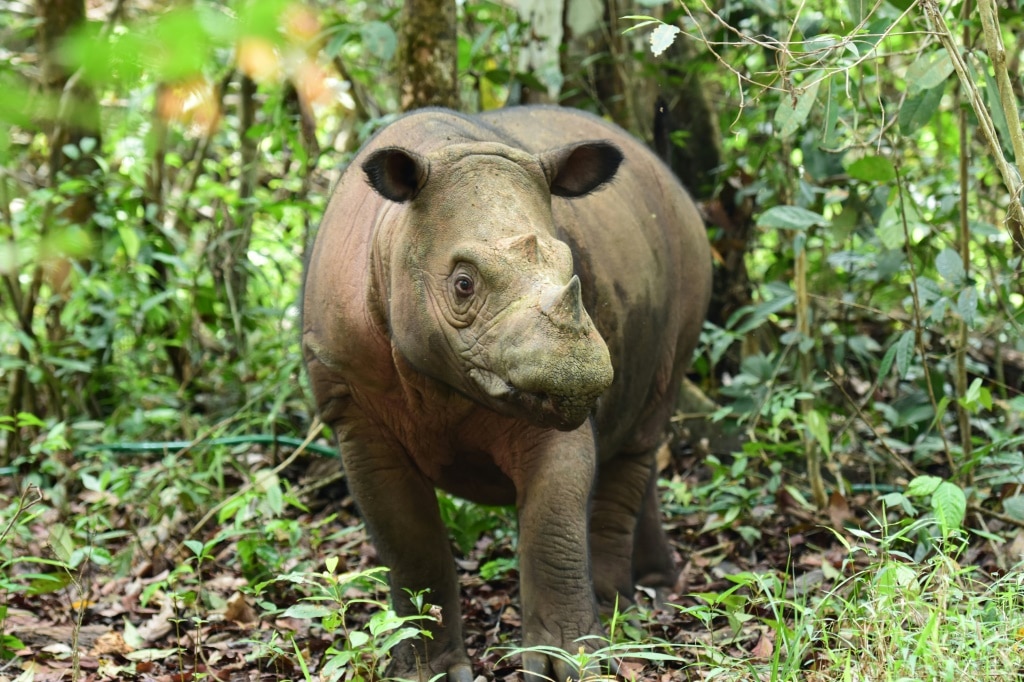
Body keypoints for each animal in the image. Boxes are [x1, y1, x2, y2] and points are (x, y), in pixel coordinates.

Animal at [299, 103, 708, 675]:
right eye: (463, 284)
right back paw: (647, 589)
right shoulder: (352, 405)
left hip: (691, 252)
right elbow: (408, 543)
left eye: (572, 269)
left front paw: (569, 664)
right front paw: (430, 672)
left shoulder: (549, 404)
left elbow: (553, 526)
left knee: (644, 430)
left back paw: (621, 606)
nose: (580, 373)